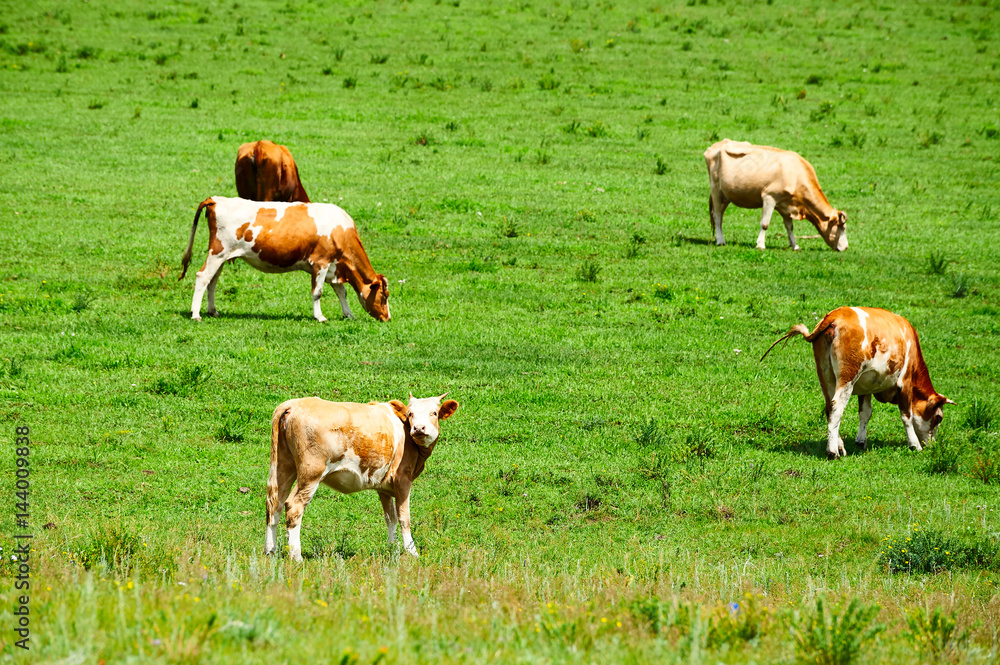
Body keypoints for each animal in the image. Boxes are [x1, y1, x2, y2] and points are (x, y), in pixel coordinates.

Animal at [178, 195, 388, 322]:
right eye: (384, 296)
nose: (388, 318)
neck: (341, 229)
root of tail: (216, 200)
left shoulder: (334, 267)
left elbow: (341, 292)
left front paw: (348, 314)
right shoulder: (320, 262)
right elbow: (318, 292)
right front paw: (319, 317)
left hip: (221, 256)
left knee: (212, 282)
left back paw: (212, 311)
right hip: (218, 252)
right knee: (202, 277)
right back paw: (195, 314)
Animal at [262, 394, 458, 560]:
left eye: (434, 413)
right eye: (411, 413)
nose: (418, 428)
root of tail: (293, 403)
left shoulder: (384, 487)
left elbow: (390, 518)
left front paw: (392, 549)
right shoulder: (403, 479)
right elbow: (404, 517)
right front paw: (412, 552)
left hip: (283, 465)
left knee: (274, 504)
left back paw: (270, 552)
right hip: (311, 472)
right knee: (294, 506)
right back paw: (296, 557)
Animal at [704, 138, 852, 252]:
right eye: (842, 227)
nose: (845, 247)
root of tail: (718, 145)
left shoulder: (786, 205)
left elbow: (790, 227)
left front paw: (795, 246)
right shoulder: (769, 197)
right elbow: (765, 223)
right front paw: (760, 245)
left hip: (726, 195)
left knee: (720, 215)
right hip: (715, 189)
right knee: (717, 215)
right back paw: (720, 240)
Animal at [760, 304, 956, 456]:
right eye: (938, 418)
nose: (932, 445)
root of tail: (836, 315)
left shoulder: (866, 386)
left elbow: (865, 413)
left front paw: (861, 440)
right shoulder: (905, 382)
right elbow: (906, 415)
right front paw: (914, 445)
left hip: (826, 375)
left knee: (829, 408)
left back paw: (839, 446)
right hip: (848, 376)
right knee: (836, 407)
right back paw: (832, 452)